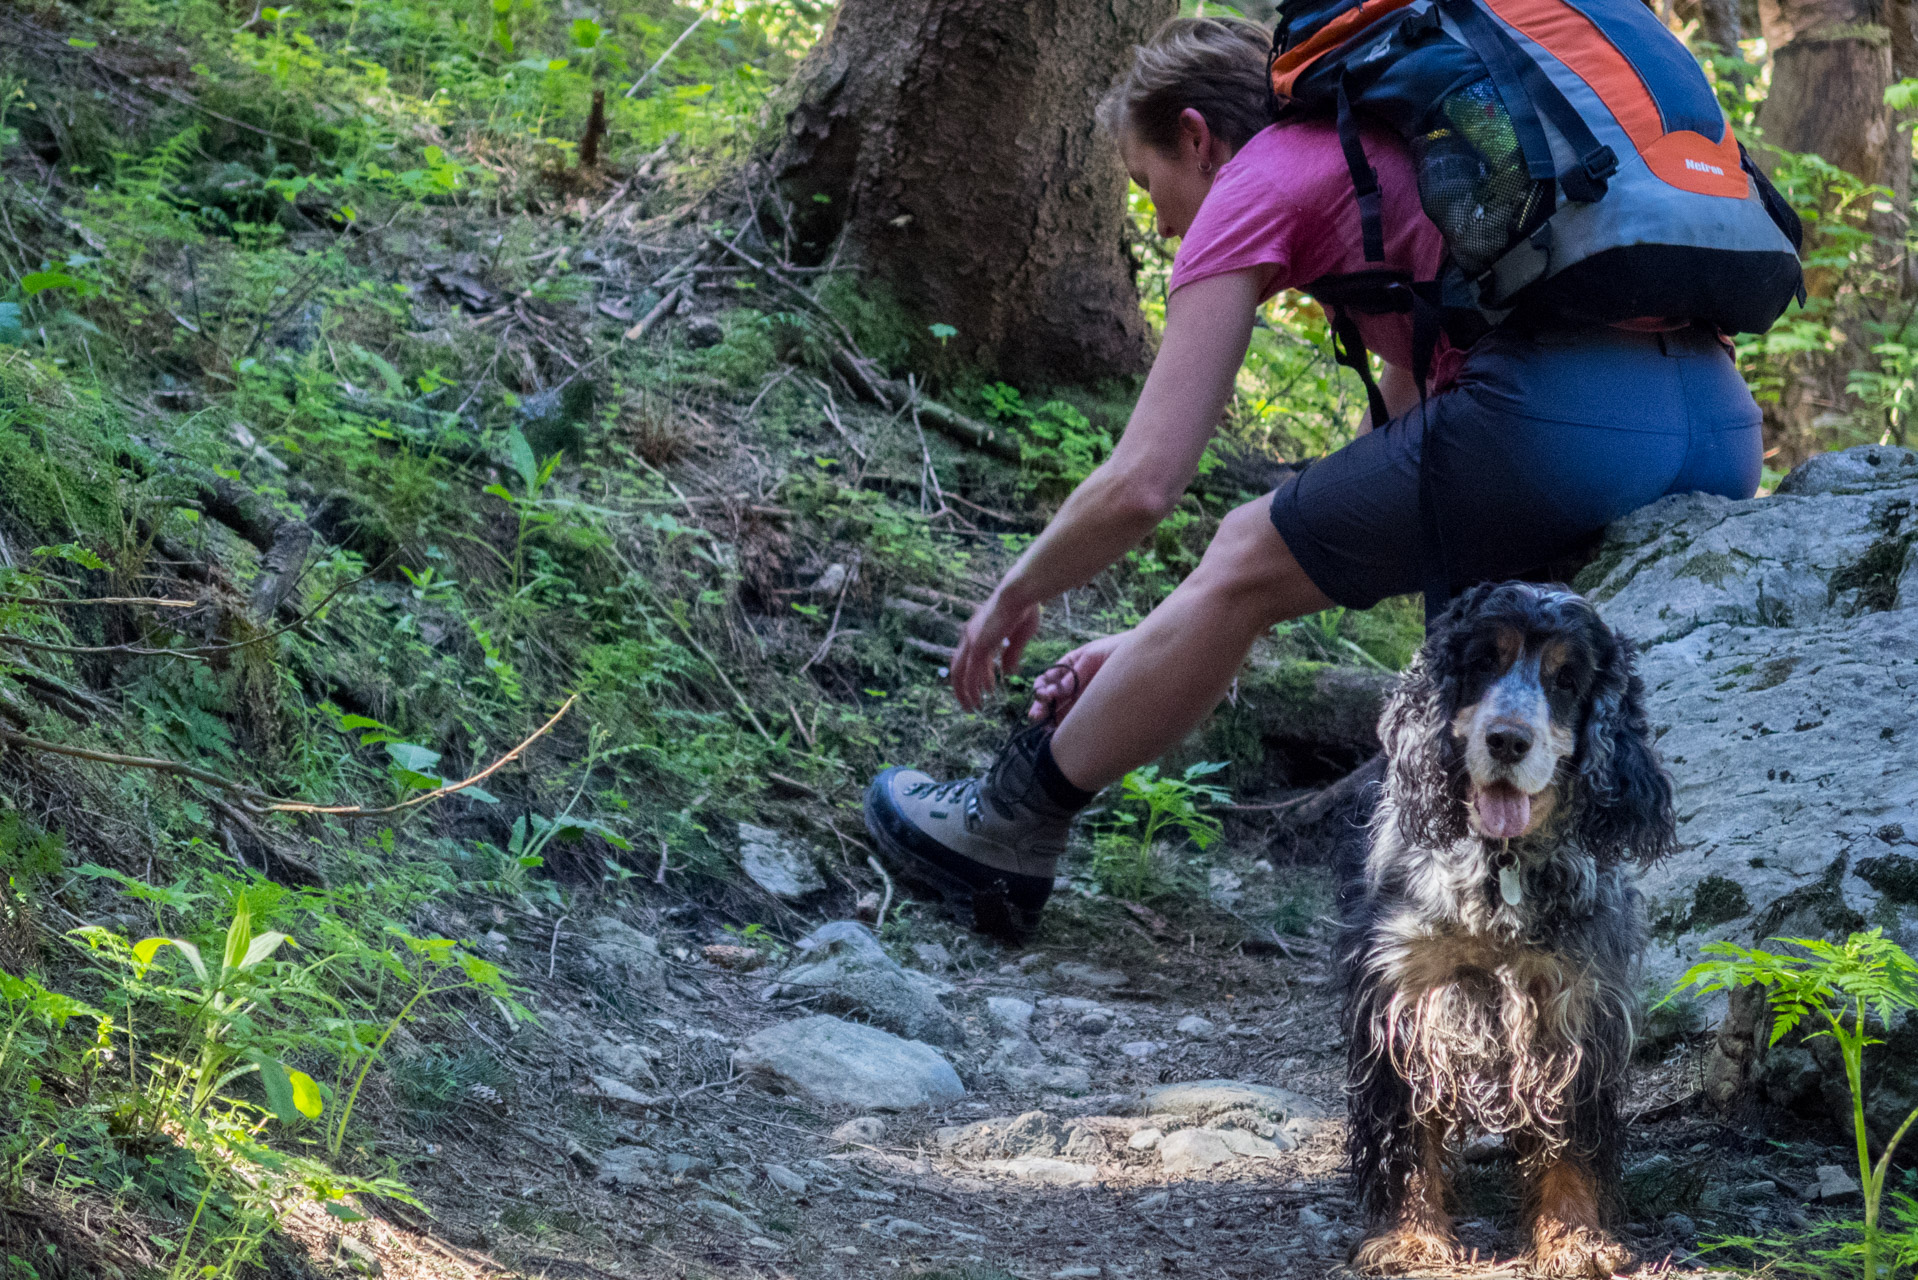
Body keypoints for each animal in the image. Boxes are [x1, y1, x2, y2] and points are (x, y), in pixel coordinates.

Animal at [1342, 583, 1672, 1280]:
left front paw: (1574, 1239)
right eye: (1483, 661)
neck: (1501, 869)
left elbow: (1568, 1140)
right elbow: (1408, 1135)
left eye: (1567, 679)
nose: (1507, 741)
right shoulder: (1406, 998)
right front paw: (1411, 1237)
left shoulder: (1572, 1007)